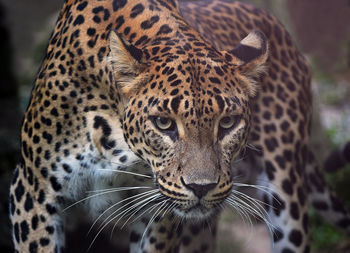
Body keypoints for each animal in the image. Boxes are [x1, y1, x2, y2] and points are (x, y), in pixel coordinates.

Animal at [9, 0, 350, 253]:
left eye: (227, 122)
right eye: (163, 123)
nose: (202, 188)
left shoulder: (160, 212)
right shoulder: (33, 193)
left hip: (286, 190)